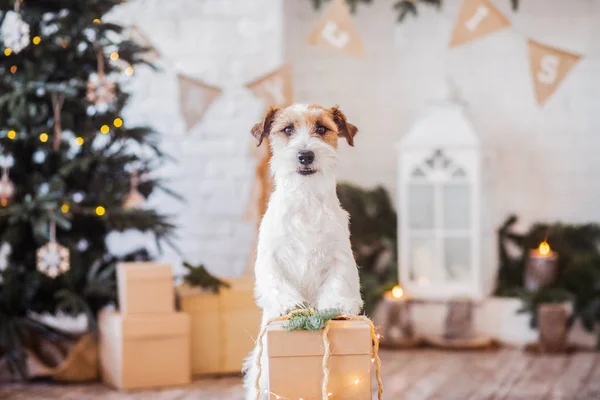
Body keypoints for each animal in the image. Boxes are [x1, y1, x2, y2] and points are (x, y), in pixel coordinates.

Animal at [243, 104, 360, 398]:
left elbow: (337, 284)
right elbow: (279, 284)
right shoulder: (270, 259)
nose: (305, 155)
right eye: (287, 129)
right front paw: (291, 306)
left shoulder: (340, 257)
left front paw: (335, 305)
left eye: (321, 128)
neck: (306, 200)